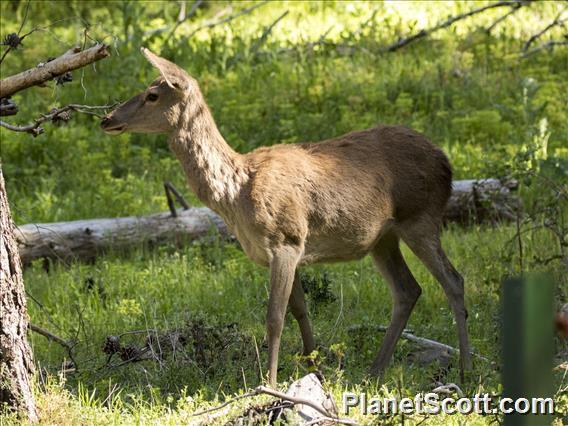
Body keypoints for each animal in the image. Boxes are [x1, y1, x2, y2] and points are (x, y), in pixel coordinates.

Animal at [101, 48, 470, 388]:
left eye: (152, 94)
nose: (106, 118)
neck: (236, 193)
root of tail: (446, 163)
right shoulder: (283, 250)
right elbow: (300, 310)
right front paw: (315, 369)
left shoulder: (287, 239)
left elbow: (275, 317)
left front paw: (271, 383)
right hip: (382, 237)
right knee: (408, 290)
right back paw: (374, 371)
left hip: (420, 217)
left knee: (453, 280)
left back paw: (465, 371)